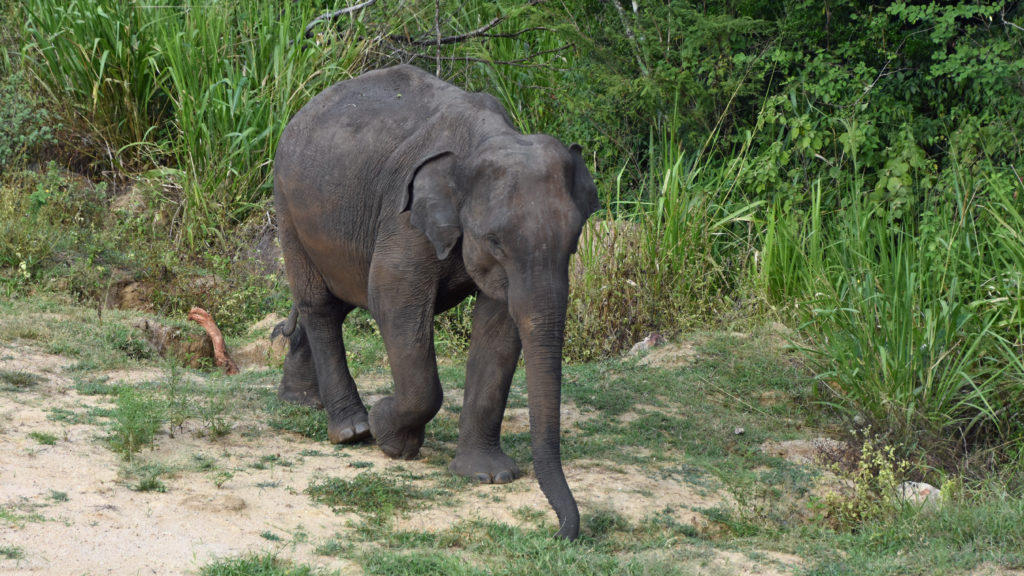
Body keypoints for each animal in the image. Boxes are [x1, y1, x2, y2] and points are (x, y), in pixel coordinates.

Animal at [272, 63, 598, 537]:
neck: (486, 138)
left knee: (339, 296)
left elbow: (499, 327)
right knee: (321, 306)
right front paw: (391, 437)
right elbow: (393, 298)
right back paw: (352, 430)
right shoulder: (405, 217)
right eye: (495, 241)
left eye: (574, 242)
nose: (559, 533)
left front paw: (488, 475)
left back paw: (301, 402)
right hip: (287, 204)